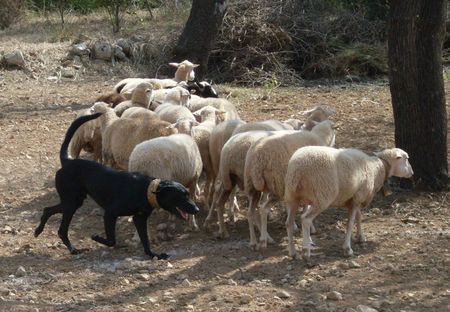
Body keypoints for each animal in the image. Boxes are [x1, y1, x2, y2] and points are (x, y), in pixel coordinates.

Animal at [33, 113, 199, 260]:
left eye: (187, 194)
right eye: (181, 196)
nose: (196, 209)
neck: (146, 189)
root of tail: (67, 161)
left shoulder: (139, 219)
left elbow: (145, 241)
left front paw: (154, 255)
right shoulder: (110, 213)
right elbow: (112, 240)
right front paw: (96, 237)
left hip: (74, 201)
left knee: (47, 210)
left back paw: (39, 230)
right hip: (70, 203)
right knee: (61, 229)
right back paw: (73, 249)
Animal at [244, 119, 336, 249]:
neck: (320, 137)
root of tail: (256, 158)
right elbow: (305, 209)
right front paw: (310, 231)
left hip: (252, 186)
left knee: (251, 212)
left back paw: (254, 241)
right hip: (277, 184)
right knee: (264, 209)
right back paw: (264, 239)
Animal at [284, 147, 414, 260]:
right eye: (406, 158)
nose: (412, 173)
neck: (377, 168)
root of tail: (298, 169)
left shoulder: (355, 198)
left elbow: (359, 217)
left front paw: (361, 237)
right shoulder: (358, 197)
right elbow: (350, 223)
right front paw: (347, 249)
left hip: (292, 197)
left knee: (289, 223)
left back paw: (293, 252)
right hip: (322, 196)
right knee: (305, 219)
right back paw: (306, 252)